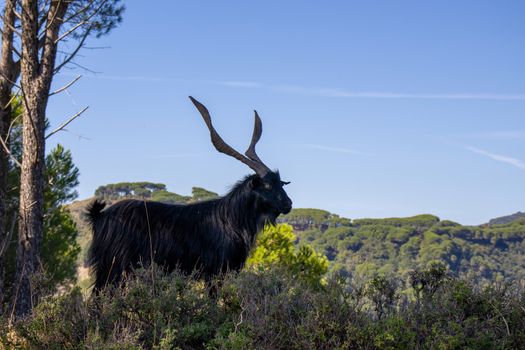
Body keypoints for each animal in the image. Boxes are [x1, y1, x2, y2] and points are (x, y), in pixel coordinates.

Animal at [86, 97, 290, 292]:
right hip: (114, 266)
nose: (288, 204)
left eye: (280, 182)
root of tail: (100, 215)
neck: (231, 219)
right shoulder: (214, 272)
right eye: (267, 185)